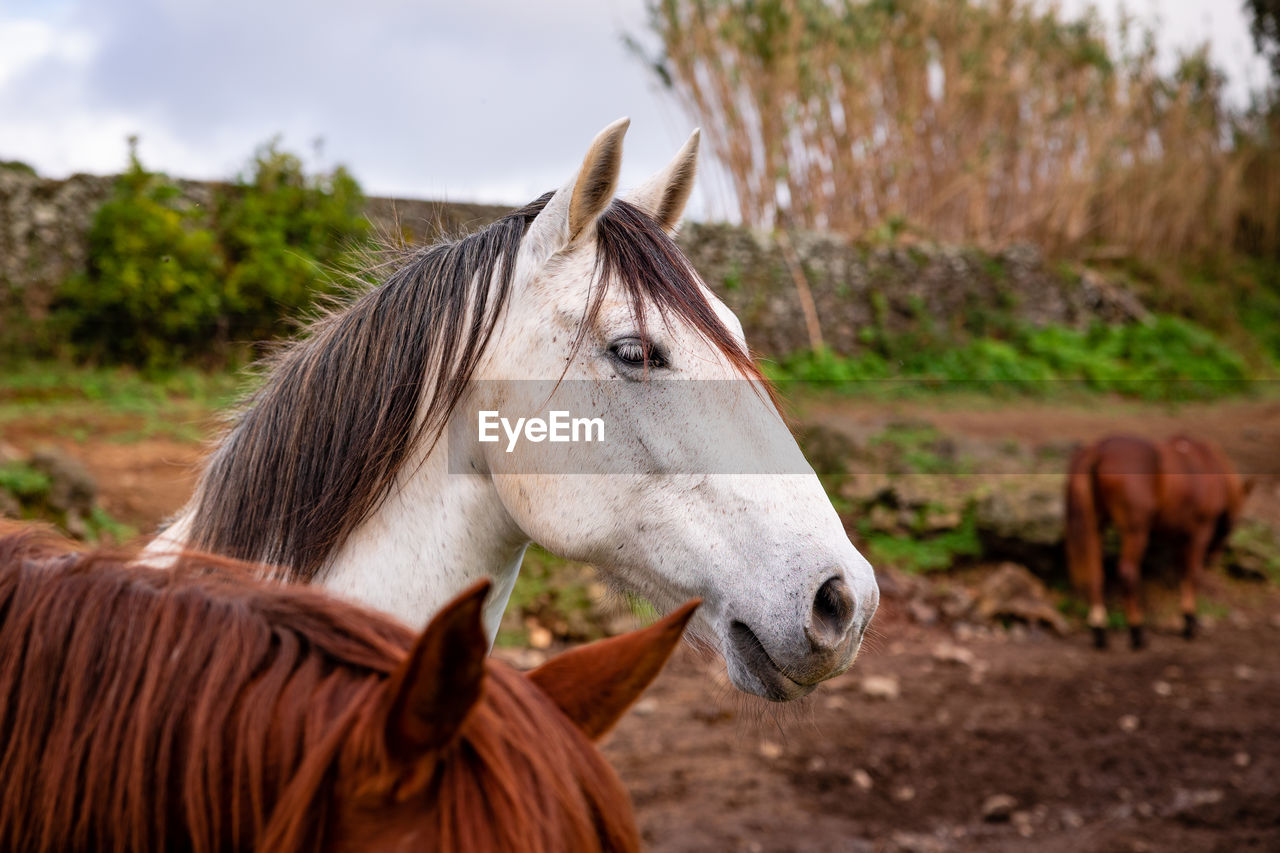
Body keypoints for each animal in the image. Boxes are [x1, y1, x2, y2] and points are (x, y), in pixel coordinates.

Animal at [1059, 435, 1249, 648]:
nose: (1213, 558)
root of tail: (1098, 450)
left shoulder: (1177, 535)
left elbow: (1181, 572)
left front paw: (1186, 617)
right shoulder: (1200, 530)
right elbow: (1192, 573)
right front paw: (1190, 622)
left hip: (1094, 526)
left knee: (1095, 572)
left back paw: (1100, 630)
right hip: (1135, 530)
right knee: (1128, 572)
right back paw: (1137, 631)